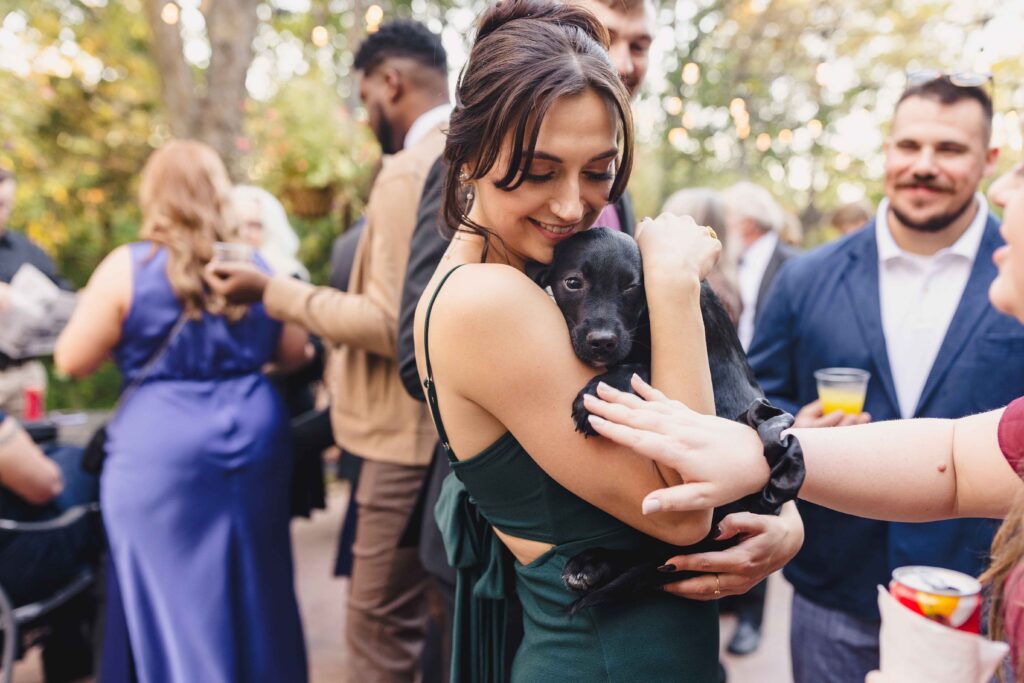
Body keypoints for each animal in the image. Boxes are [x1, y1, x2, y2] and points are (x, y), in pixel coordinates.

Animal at [544, 227, 770, 610]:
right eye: (573, 282)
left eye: (631, 287)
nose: (602, 342)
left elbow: (638, 366)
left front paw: (593, 400)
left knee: (663, 553)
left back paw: (594, 563)